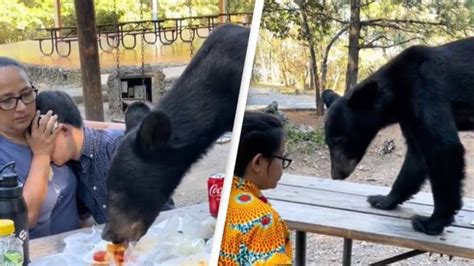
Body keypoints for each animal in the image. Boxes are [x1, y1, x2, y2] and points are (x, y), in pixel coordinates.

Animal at [322, 37, 474, 235]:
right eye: (328, 143)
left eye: (339, 140)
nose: (336, 175)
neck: (398, 92)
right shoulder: (409, 117)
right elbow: (416, 156)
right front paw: (383, 199)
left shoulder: (426, 91)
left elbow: (443, 147)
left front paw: (431, 221)